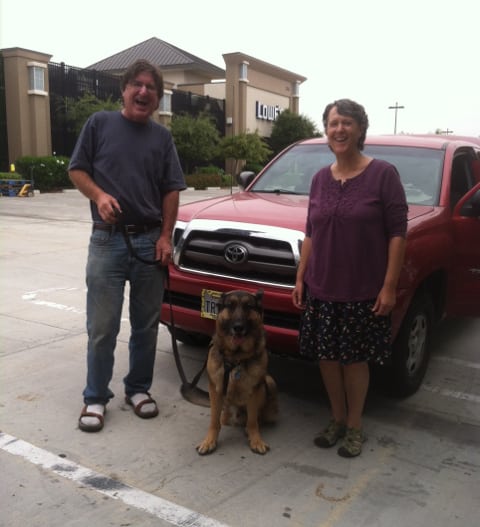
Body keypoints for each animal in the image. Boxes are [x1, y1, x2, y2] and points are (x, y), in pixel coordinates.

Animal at [196, 290, 278, 456]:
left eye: (248, 306)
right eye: (230, 306)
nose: (238, 327)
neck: (236, 357)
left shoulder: (254, 392)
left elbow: (252, 421)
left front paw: (256, 440)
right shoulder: (215, 390)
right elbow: (214, 421)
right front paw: (209, 441)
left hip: (270, 381)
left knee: (257, 418)